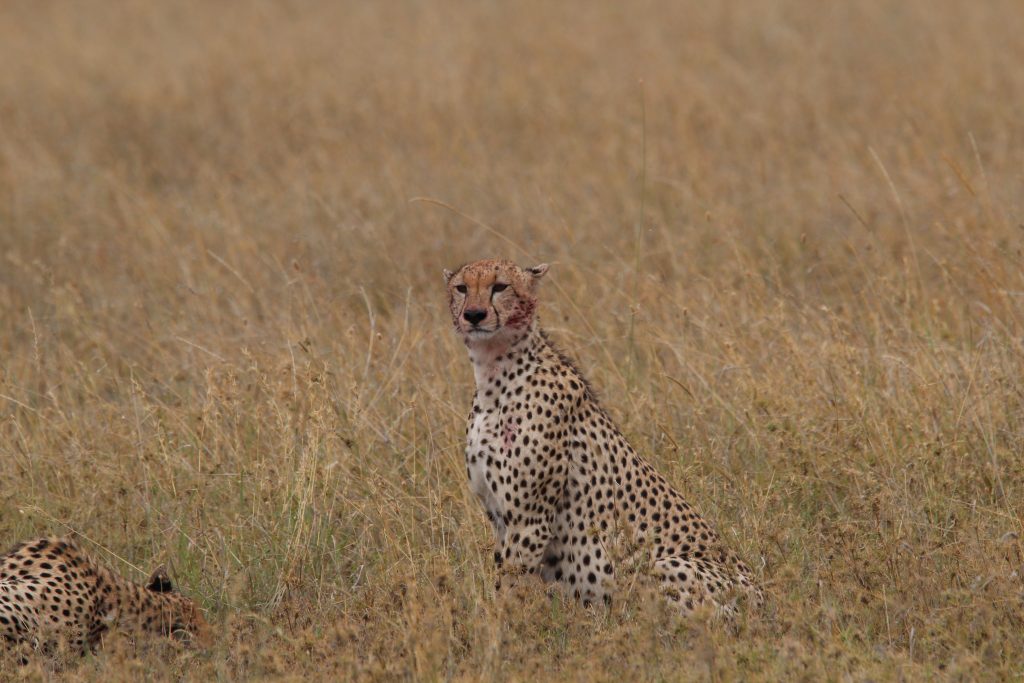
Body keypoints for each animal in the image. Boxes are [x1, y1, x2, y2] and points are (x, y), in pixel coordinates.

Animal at [444, 259, 765, 618]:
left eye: (500, 287)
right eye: (461, 288)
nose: (474, 314)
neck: (494, 376)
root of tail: (764, 598)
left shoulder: (530, 519)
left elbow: (509, 587)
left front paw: (500, 623)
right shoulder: (500, 516)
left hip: (662, 565)